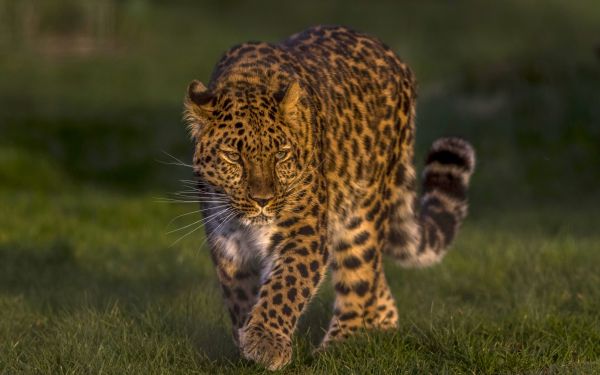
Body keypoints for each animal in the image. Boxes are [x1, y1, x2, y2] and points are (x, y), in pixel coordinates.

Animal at [183, 25, 474, 372]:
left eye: (281, 155)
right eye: (233, 157)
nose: (263, 200)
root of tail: (397, 60)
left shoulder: (304, 233)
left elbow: (285, 286)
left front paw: (265, 342)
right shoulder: (228, 243)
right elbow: (241, 296)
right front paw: (247, 339)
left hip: (361, 216)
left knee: (360, 282)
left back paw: (339, 349)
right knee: (380, 290)